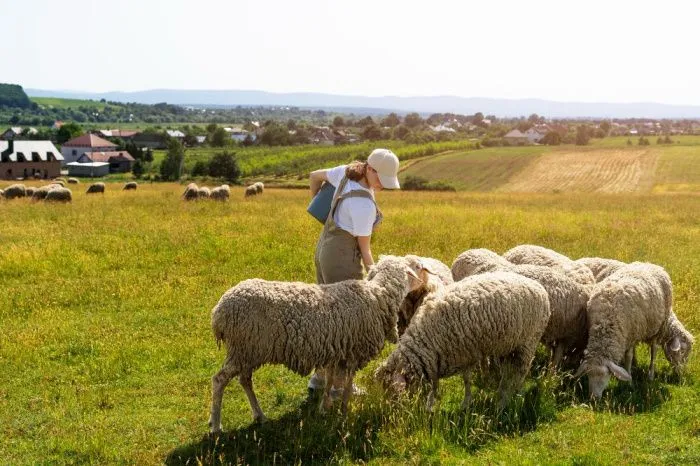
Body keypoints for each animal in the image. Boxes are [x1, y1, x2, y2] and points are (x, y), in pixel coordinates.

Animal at [209, 255, 426, 430]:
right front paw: (344, 410)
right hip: (244, 348)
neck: (378, 296)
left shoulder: (336, 349)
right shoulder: (354, 352)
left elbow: (330, 379)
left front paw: (324, 407)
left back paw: (259, 416)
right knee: (220, 380)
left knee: (245, 380)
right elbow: (347, 384)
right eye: (415, 267)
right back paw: (216, 425)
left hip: (248, 350)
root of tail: (219, 311)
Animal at [374, 272, 548, 410]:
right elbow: (449, 382)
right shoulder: (448, 357)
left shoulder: (465, 353)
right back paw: (502, 392)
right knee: (507, 371)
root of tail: (540, 287)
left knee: (521, 371)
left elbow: (465, 380)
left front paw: (462, 403)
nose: (388, 411)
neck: (427, 340)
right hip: (508, 344)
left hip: (528, 341)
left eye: (390, 391)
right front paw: (433, 405)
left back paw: (509, 399)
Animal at [576, 262, 680, 396]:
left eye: (605, 375)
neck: (605, 323)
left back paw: (650, 375)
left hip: (660, 327)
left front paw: (629, 381)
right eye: (588, 374)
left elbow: (629, 357)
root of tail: (652, 264)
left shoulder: (631, 335)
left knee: (654, 350)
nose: (593, 398)